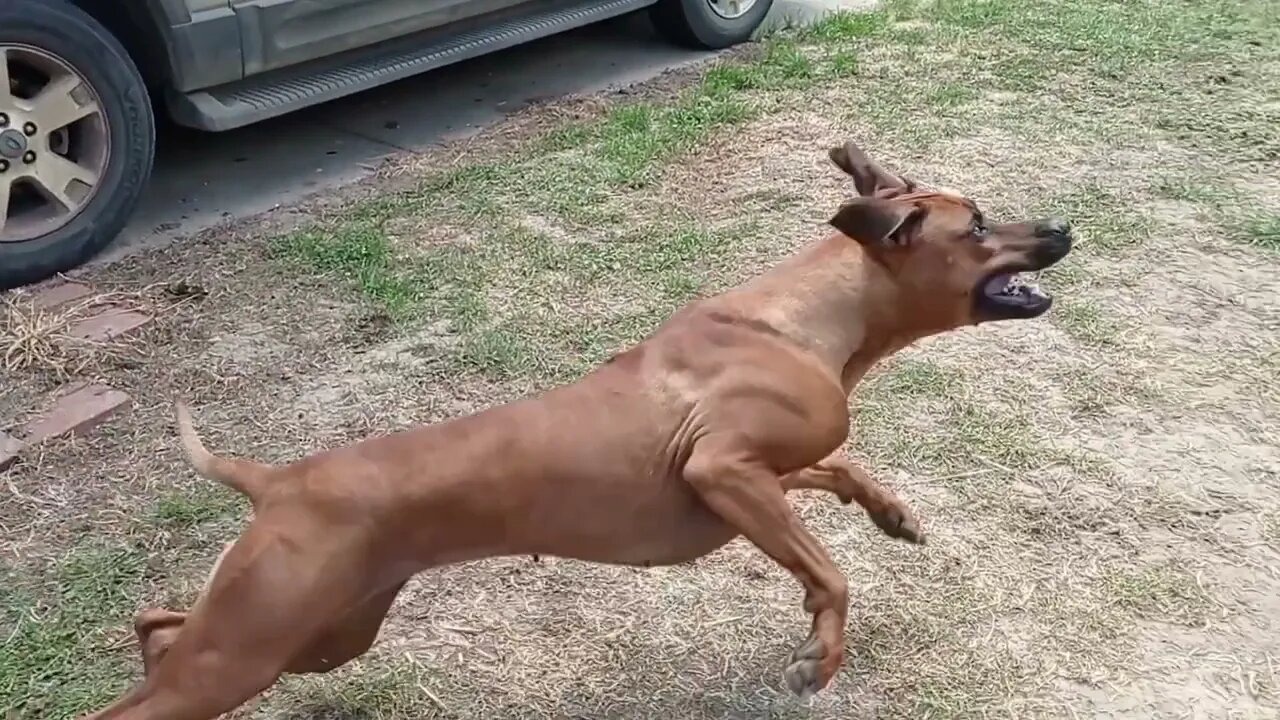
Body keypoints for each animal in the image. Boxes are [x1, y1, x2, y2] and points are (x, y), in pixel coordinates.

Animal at [85, 141, 1075, 717]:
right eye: (978, 225)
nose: (1064, 226)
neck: (806, 317)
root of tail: (275, 480)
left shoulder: (754, 480)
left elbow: (839, 474)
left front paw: (892, 514)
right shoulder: (726, 471)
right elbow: (828, 572)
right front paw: (817, 660)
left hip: (320, 637)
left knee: (161, 623)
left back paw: (149, 635)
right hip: (252, 648)